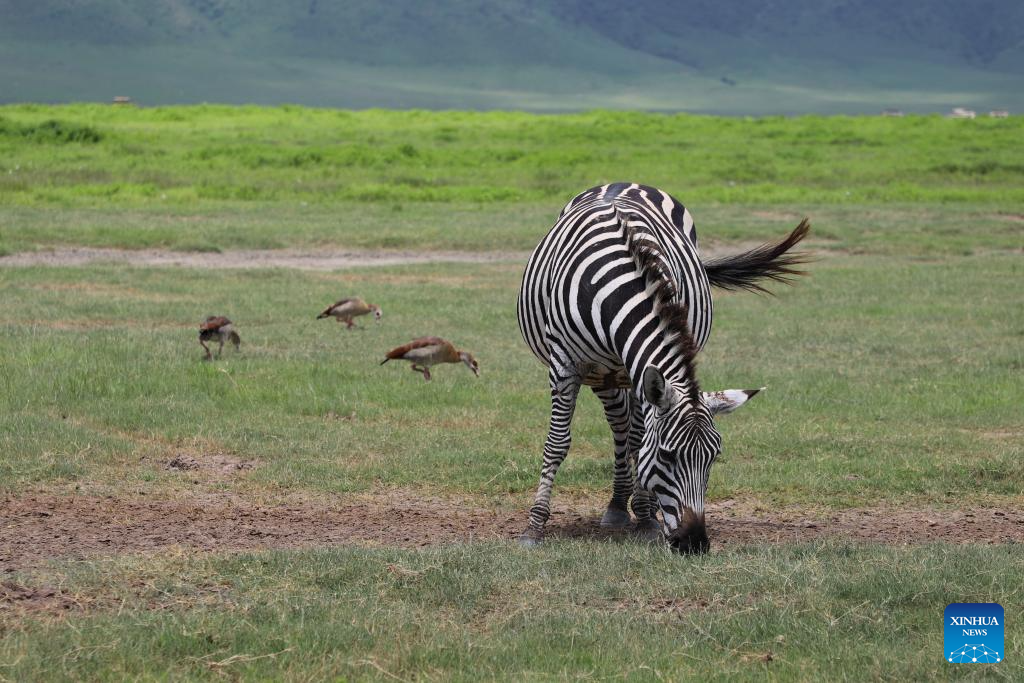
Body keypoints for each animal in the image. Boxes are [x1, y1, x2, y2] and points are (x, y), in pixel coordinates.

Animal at [520, 183, 806, 557]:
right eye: (668, 456)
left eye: (713, 458)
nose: (694, 543)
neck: (616, 287)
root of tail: (622, 182)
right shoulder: (565, 365)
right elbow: (558, 443)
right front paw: (535, 526)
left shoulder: (639, 370)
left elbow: (639, 441)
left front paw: (646, 517)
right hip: (602, 374)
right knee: (619, 424)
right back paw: (617, 506)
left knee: (628, 430)